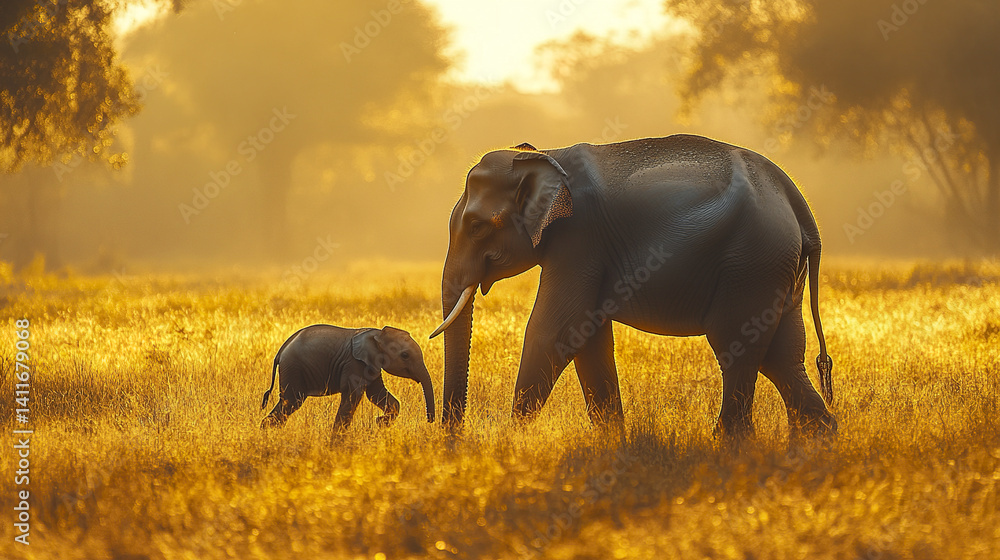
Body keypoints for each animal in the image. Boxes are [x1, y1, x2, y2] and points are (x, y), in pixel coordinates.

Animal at [260, 325, 435, 430]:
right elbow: (353, 396)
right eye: (405, 355)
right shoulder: (354, 364)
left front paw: (381, 423)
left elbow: (376, 394)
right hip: (293, 368)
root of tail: (281, 351)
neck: (378, 334)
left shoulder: (371, 364)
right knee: (291, 402)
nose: (430, 421)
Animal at [430, 134, 835, 438]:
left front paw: (511, 441)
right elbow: (588, 340)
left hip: (751, 264)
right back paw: (816, 437)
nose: (452, 439)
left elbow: (554, 331)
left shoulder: (579, 240)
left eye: (477, 226)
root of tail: (799, 204)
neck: (548, 155)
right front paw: (613, 444)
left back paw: (733, 442)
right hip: (778, 271)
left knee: (738, 347)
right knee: (781, 355)